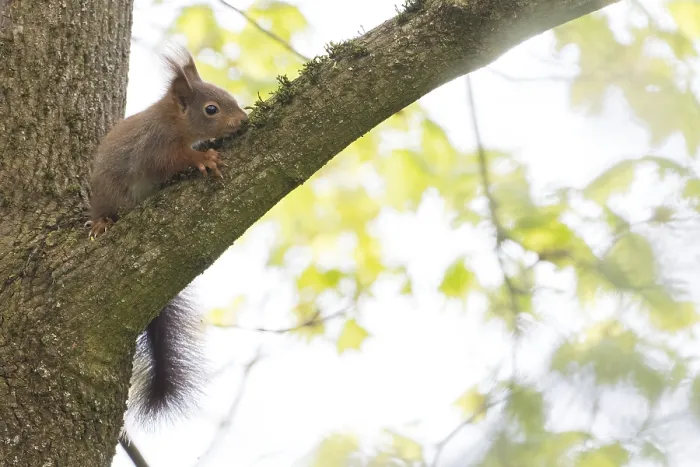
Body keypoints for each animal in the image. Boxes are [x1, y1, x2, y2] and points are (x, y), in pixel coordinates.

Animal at [86, 45, 248, 428]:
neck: (173, 122)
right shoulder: (154, 147)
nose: (243, 120)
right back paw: (101, 223)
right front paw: (204, 158)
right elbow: (174, 160)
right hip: (105, 194)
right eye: (211, 109)